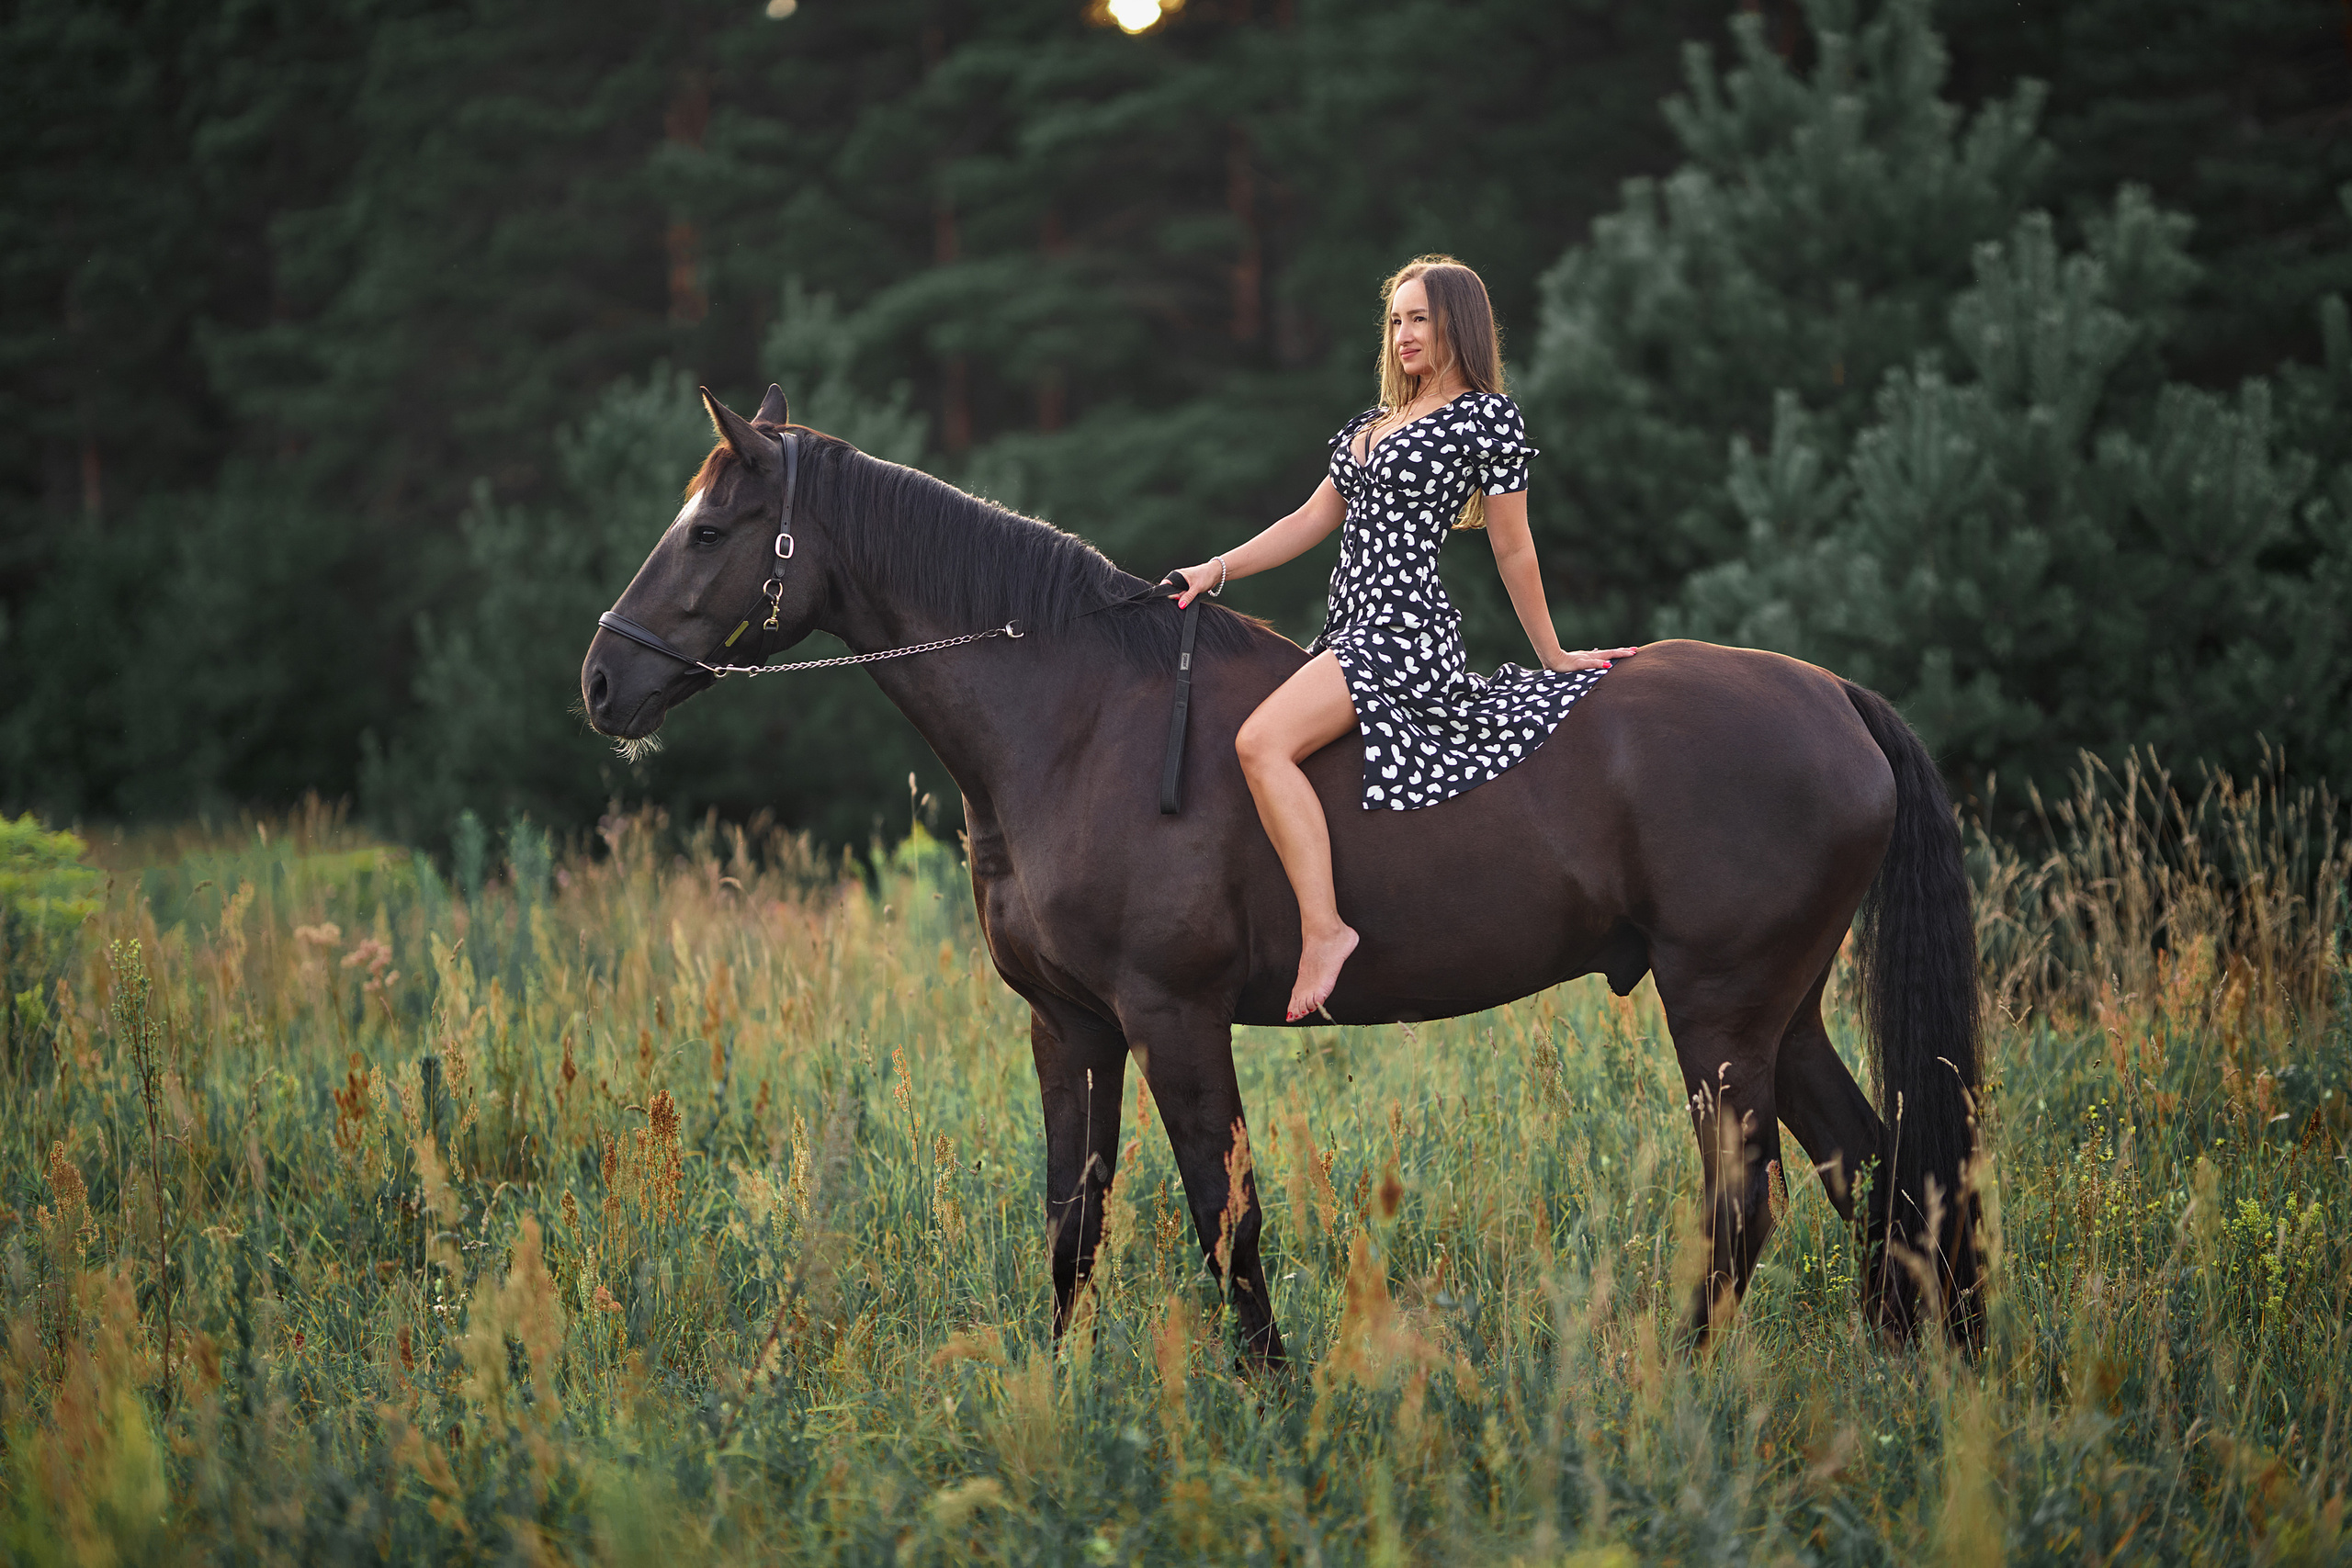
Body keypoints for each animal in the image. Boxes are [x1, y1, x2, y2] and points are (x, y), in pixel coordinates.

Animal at [581, 386, 1983, 1362]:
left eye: (710, 528)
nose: (603, 678)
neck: (1080, 718)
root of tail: (1834, 699)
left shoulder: (1173, 1015)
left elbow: (1224, 1211)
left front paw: (1271, 1392)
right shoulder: (1069, 1024)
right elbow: (1071, 1219)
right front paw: (1053, 1390)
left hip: (1721, 1014)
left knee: (1749, 1204)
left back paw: (1676, 1384)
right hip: (1779, 1013)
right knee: (1880, 1179)